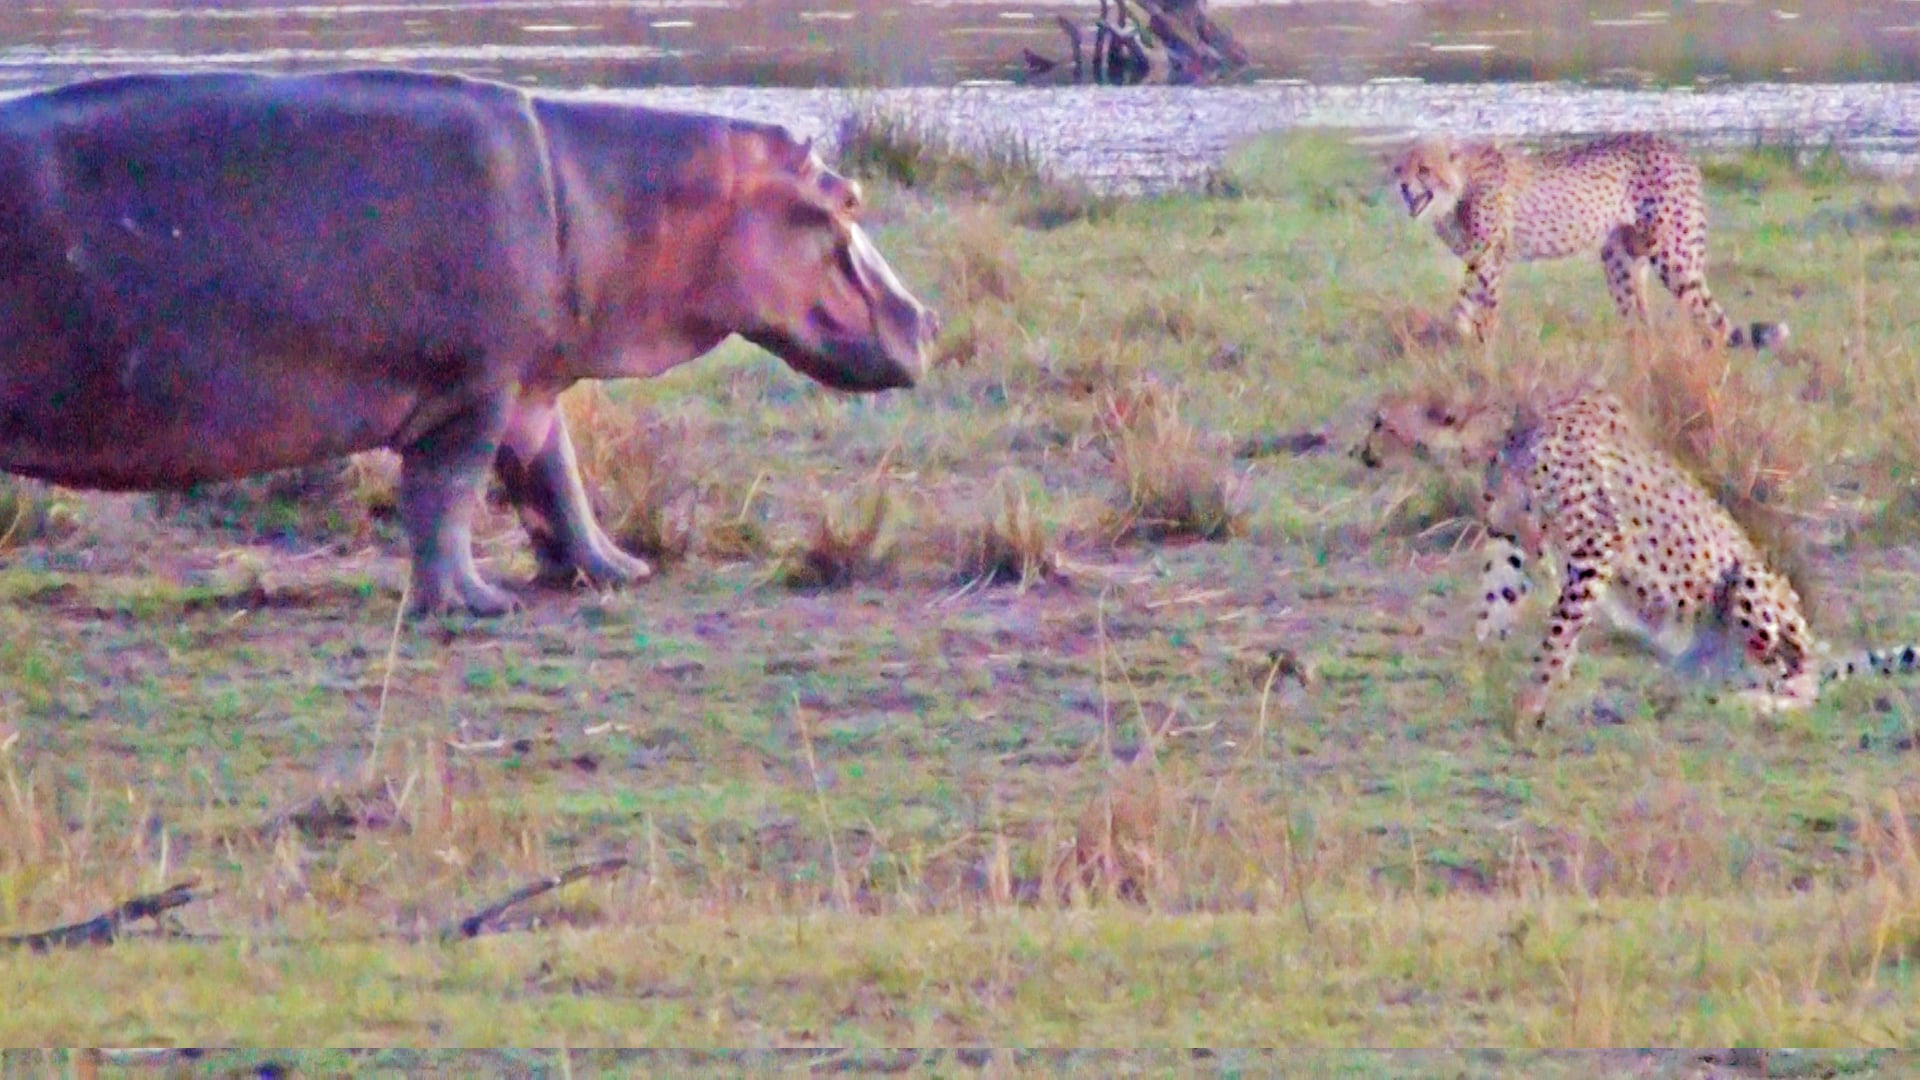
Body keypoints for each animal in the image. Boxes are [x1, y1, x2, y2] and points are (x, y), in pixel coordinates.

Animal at [0, 69, 937, 615]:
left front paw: (616, 571)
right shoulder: (471, 389)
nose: (928, 319)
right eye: (846, 200)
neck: (614, 196)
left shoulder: (529, 384)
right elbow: (445, 494)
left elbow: (557, 482)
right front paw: (477, 607)